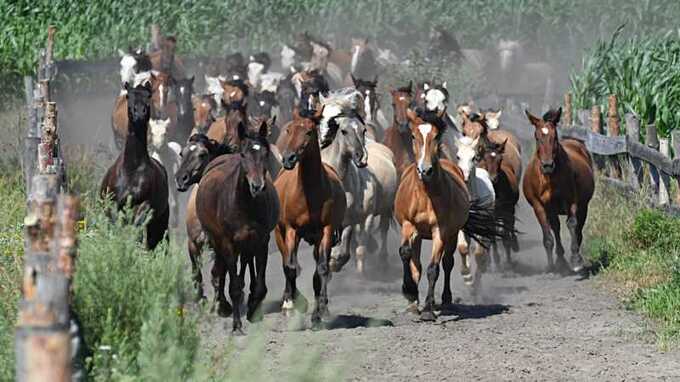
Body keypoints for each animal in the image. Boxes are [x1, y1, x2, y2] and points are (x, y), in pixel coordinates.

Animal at [101, 82, 170, 251]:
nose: (139, 112)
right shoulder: (114, 204)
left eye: (148, 95)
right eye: (128, 95)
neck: (131, 169)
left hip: (161, 219)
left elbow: (137, 226)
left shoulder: (145, 205)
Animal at [191, 121, 278, 332]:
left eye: (265, 153)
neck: (244, 204)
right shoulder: (227, 243)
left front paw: (254, 309)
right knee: (222, 271)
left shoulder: (261, 241)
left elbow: (259, 283)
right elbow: (234, 286)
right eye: (244, 155)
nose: (257, 186)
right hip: (217, 240)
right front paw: (237, 324)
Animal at [274, 106, 348, 326]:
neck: (309, 193)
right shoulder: (291, 230)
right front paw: (291, 306)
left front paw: (319, 311)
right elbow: (290, 267)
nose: (288, 158)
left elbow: (322, 269)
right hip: (280, 235)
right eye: (289, 130)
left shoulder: (326, 231)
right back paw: (289, 300)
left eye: (308, 132)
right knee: (287, 263)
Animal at [396, 109, 502, 320]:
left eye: (436, 136)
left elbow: (434, 268)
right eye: (413, 136)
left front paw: (428, 310)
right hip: (419, 235)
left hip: (452, 234)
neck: (426, 195)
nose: (425, 170)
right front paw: (409, 291)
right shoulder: (408, 224)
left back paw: (445, 300)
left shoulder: (441, 230)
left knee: (447, 262)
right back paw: (414, 303)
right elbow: (405, 253)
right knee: (416, 264)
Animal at [524, 109, 592, 274]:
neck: (549, 179)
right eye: (537, 137)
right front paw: (551, 267)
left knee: (578, 228)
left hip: (583, 205)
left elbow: (572, 224)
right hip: (552, 209)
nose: (548, 165)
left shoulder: (572, 200)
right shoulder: (539, 206)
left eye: (554, 137)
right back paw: (560, 260)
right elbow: (548, 236)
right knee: (556, 227)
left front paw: (576, 259)